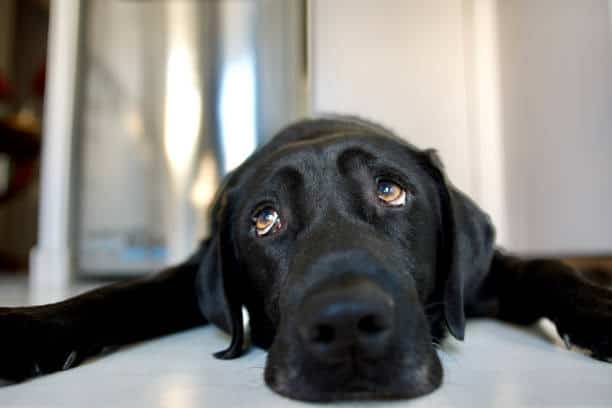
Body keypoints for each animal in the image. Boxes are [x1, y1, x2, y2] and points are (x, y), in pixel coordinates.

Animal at [1, 115, 612, 402]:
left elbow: (550, 268)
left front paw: (599, 315)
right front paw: (28, 329)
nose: (347, 326)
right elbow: (116, 293)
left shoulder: (483, 276)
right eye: (264, 220)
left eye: (391, 191)